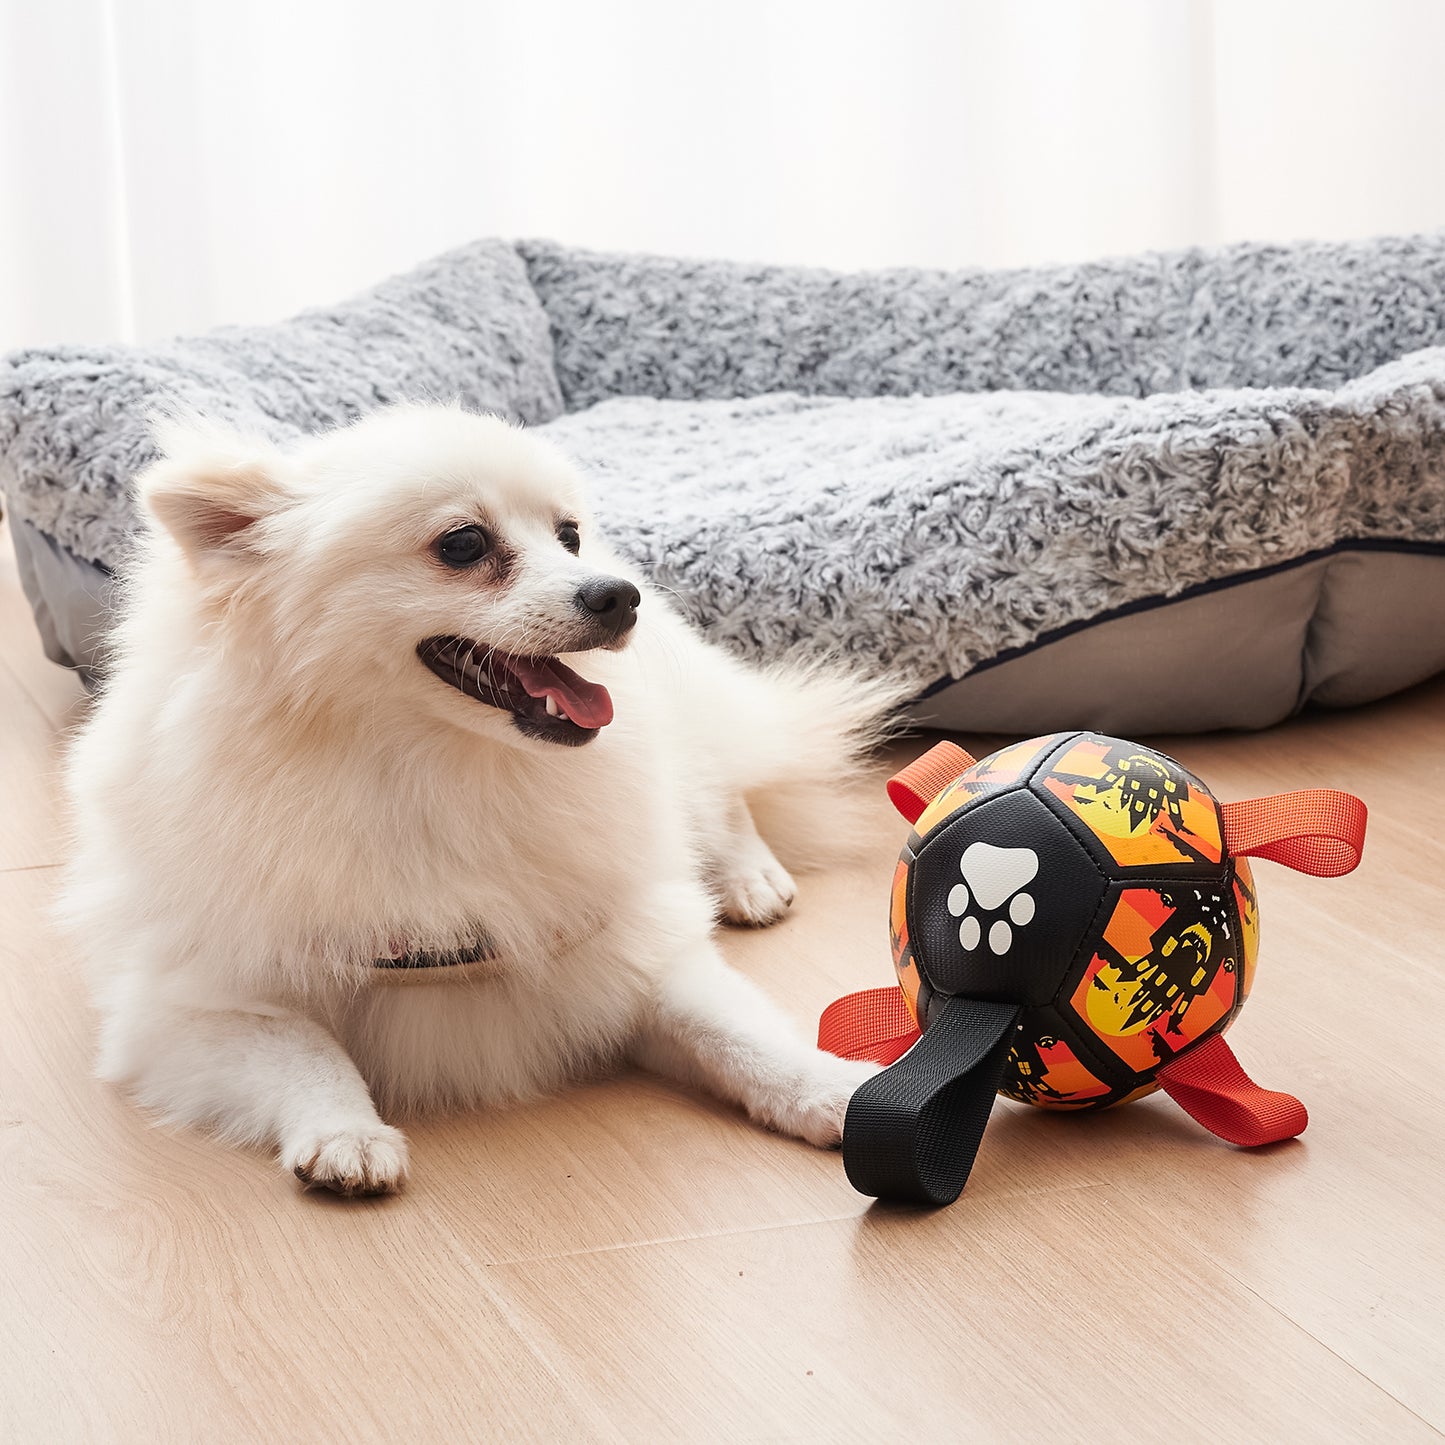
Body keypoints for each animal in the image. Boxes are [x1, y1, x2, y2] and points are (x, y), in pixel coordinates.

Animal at [62, 407, 895, 1196]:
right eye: (463, 544)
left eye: (567, 536)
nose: (615, 594)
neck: (437, 772)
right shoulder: (189, 1007)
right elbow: (306, 1048)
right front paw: (345, 1131)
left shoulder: (630, 943)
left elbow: (737, 1033)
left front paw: (831, 1088)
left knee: (721, 784)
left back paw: (750, 876)